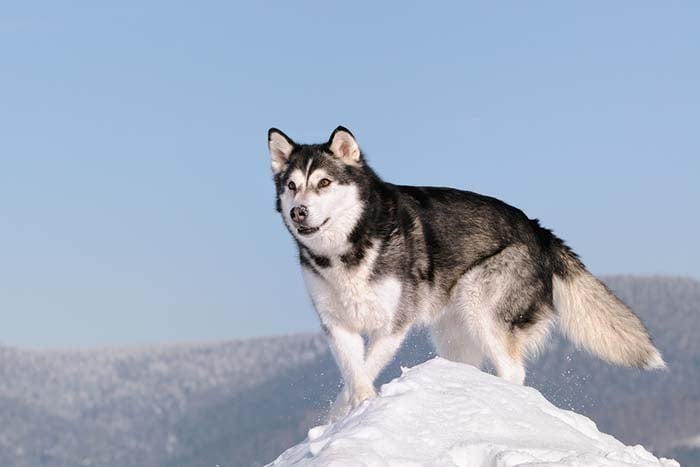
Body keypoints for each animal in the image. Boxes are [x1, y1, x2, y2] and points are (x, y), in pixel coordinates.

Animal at [266, 125, 664, 420]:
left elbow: (366, 368)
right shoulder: (336, 325)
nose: (299, 211)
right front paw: (340, 416)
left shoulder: (394, 323)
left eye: (324, 183)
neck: (348, 248)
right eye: (292, 186)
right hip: (454, 332)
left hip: (481, 305)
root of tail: (537, 230)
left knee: (512, 370)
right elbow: (353, 373)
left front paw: (357, 409)